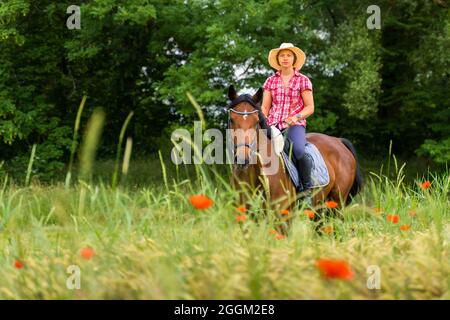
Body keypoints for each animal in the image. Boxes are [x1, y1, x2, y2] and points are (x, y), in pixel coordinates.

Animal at [229, 86, 362, 234]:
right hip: (320, 208)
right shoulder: (244, 215)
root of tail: (339, 141)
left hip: (336, 205)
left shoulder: (282, 216)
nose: (242, 159)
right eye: (232, 120)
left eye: (256, 122)